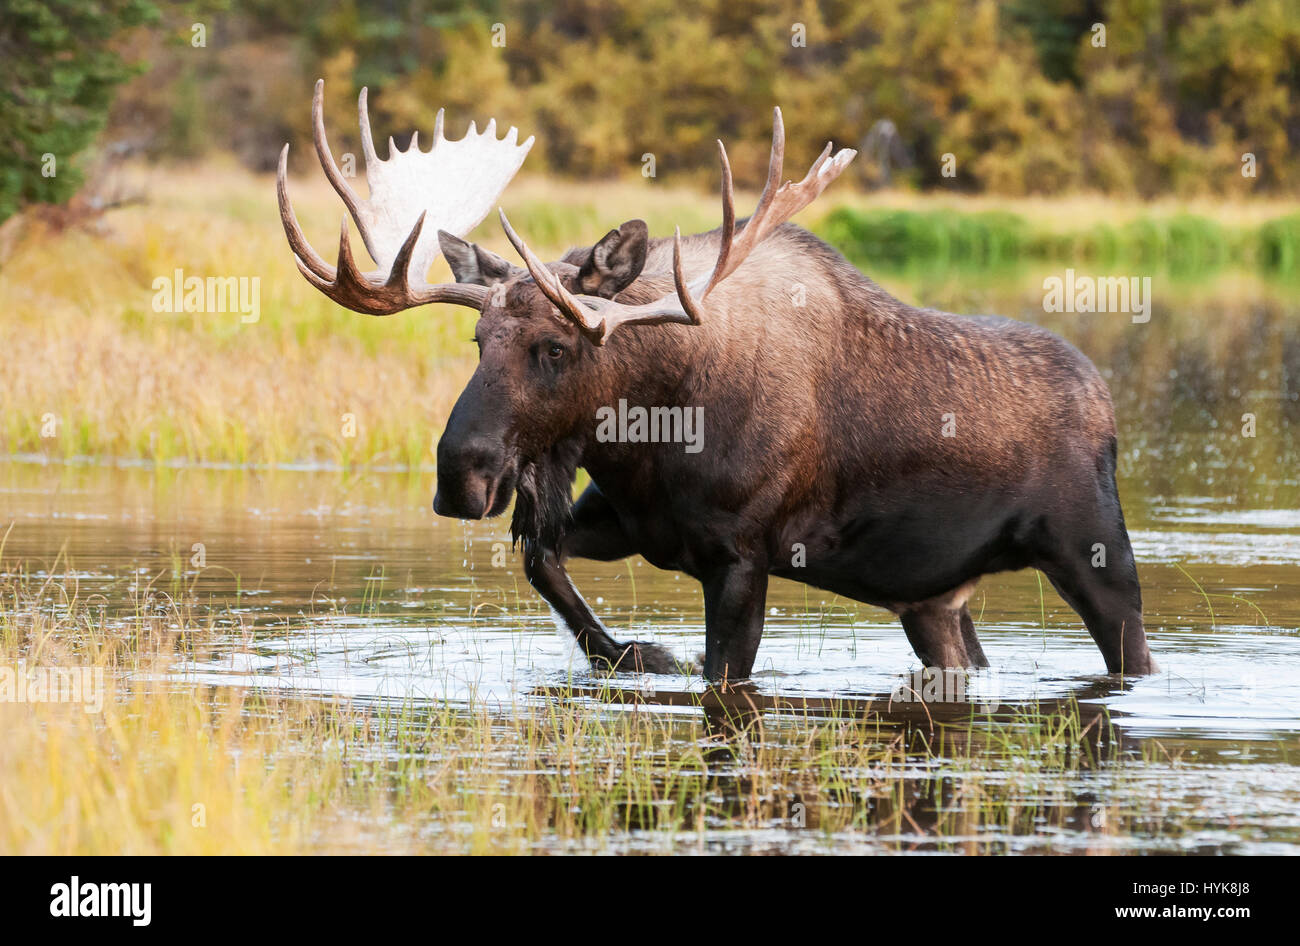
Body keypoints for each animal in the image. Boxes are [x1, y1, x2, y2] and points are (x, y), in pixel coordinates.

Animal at [279, 81, 1154, 686]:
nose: (460, 475)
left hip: (1096, 554)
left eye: (555, 346)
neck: (652, 431)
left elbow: (721, 674)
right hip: (934, 601)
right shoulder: (628, 519)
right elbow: (542, 559)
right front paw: (632, 652)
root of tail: (1107, 406)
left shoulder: (742, 555)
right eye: (477, 340)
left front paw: (646, 653)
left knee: (1133, 653)